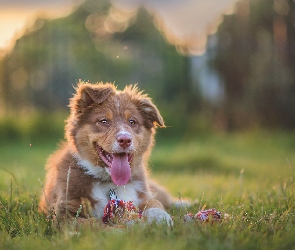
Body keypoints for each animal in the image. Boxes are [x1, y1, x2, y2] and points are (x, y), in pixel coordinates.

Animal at [38, 81, 175, 225]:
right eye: (104, 121)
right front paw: (123, 228)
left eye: (132, 122)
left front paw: (161, 218)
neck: (109, 183)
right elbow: (94, 224)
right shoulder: (64, 214)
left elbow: (154, 203)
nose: (125, 140)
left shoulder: (143, 194)